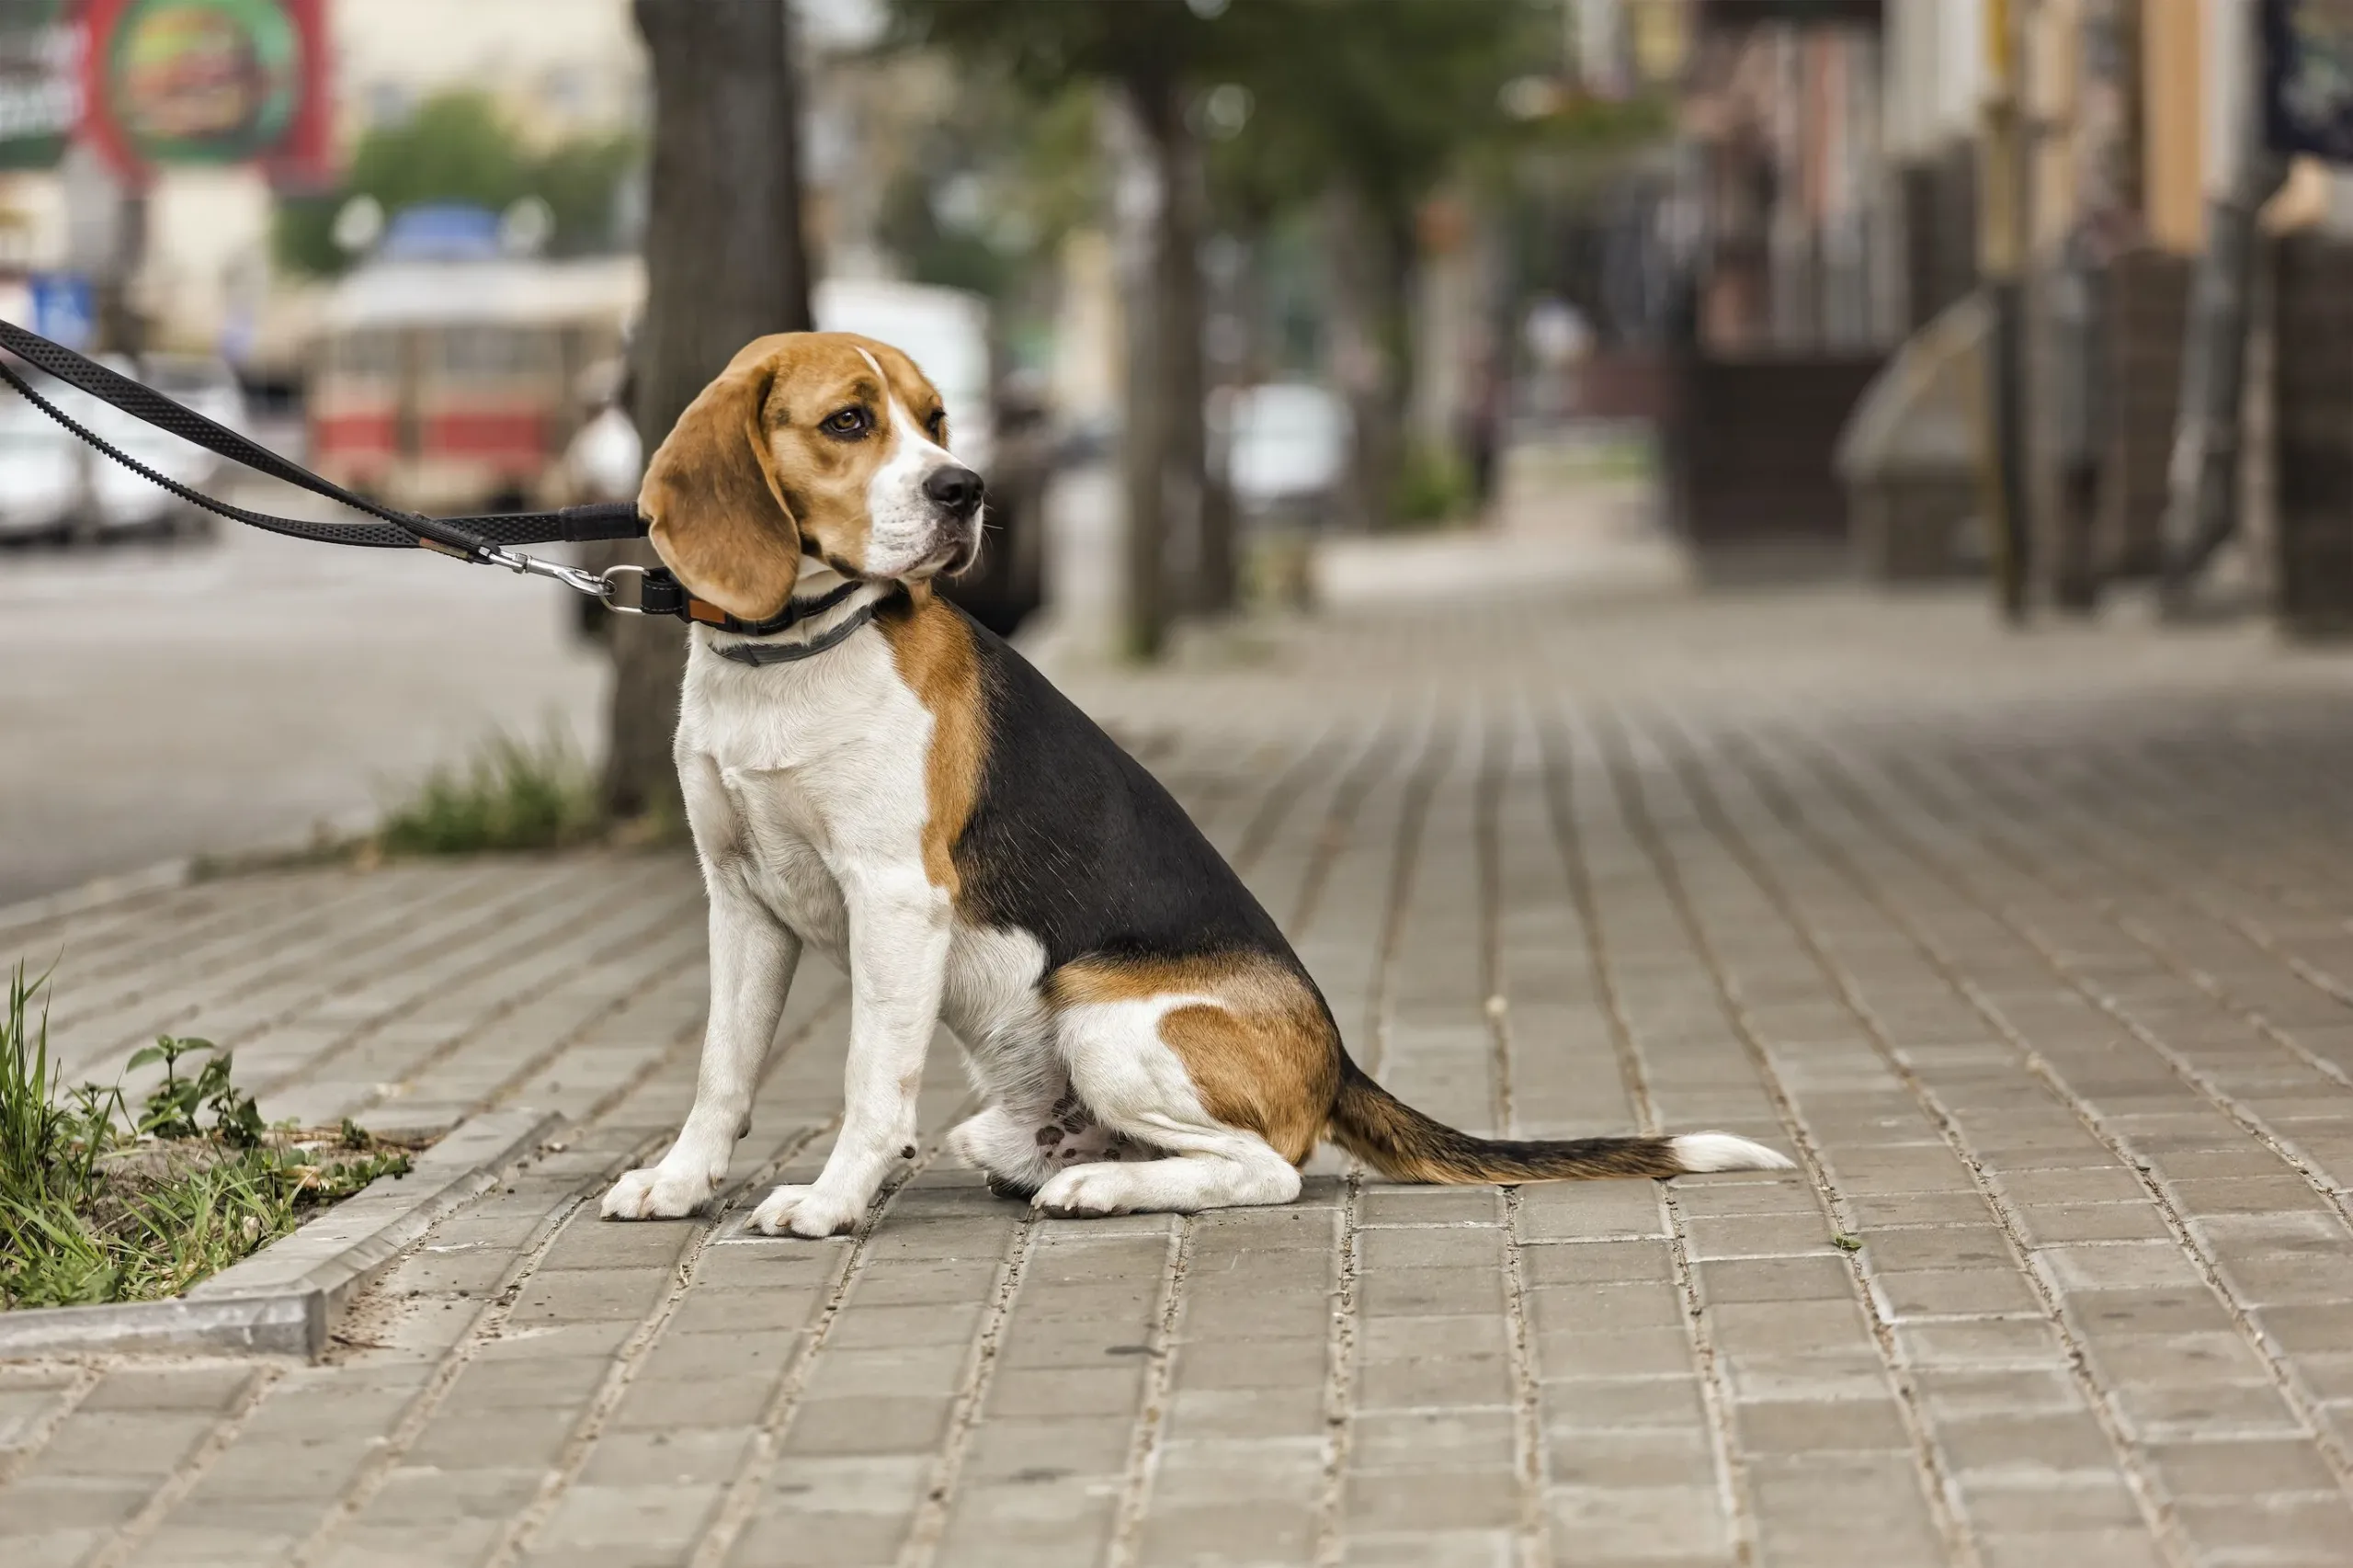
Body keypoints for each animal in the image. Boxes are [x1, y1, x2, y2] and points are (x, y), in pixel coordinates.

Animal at [597, 332, 1788, 1233]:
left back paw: (1101, 1186)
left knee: (1268, 1166)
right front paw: (681, 1180)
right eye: (849, 421)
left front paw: (833, 1199)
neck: (787, 657)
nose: (964, 489)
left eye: (935, 419)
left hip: (1098, 1008)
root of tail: (1335, 1057)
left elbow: (866, 1078)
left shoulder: (893, 896)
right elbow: (722, 1069)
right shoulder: (740, 899)